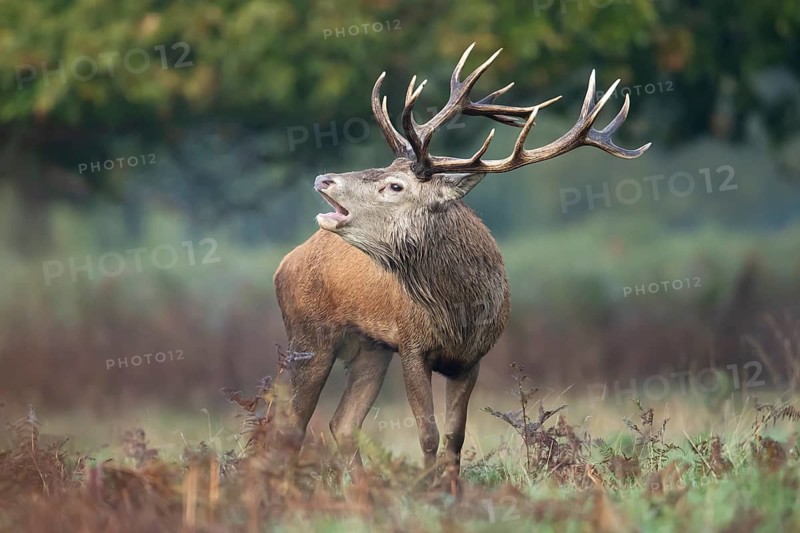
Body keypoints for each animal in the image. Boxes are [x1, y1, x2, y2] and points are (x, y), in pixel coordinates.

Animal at [273, 43, 650, 481]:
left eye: (394, 185)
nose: (324, 179)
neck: (458, 311)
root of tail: (285, 263)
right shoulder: (412, 345)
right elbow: (428, 434)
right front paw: (427, 487)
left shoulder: (472, 358)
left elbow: (455, 436)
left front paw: (452, 488)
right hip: (308, 334)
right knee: (292, 423)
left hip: (371, 348)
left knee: (342, 423)